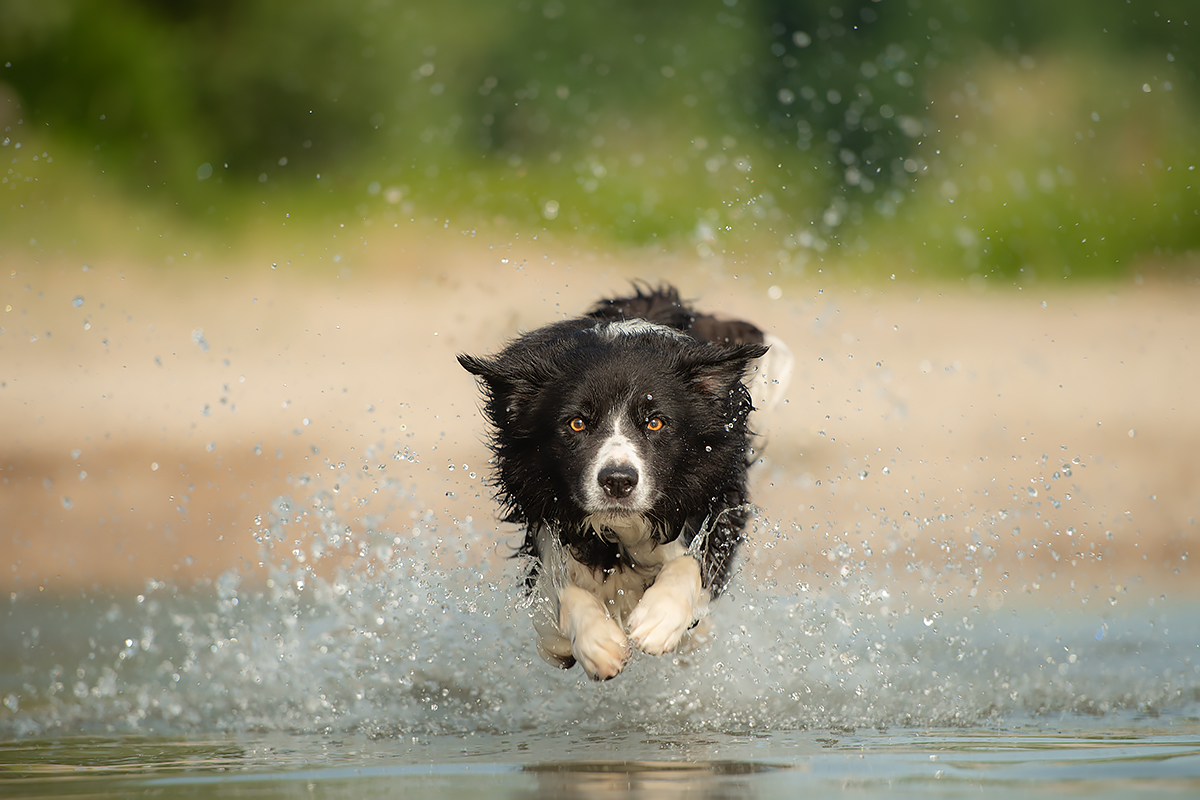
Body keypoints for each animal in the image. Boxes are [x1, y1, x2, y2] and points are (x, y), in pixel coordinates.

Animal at [458, 284, 787, 681]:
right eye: (577, 423)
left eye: (655, 422)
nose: (618, 481)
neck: (620, 531)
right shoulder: (543, 511)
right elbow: (560, 591)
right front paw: (597, 642)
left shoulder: (717, 498)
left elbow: (693, 564)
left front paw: (660, 619)